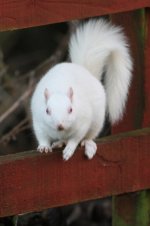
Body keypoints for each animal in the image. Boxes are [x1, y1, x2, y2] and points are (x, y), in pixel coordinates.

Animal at [30, 19, 132, 161]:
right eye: (47, 111)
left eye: (71, 109)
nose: (60, 125)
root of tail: (86, 71)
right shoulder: (39, 122)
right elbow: (42, 136)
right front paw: (44, 146)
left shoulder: (83, 122)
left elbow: (75, 138)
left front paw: (69, 149)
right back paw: (59, 142)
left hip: (96, 121)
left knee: (89, 136)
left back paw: (88, 144)